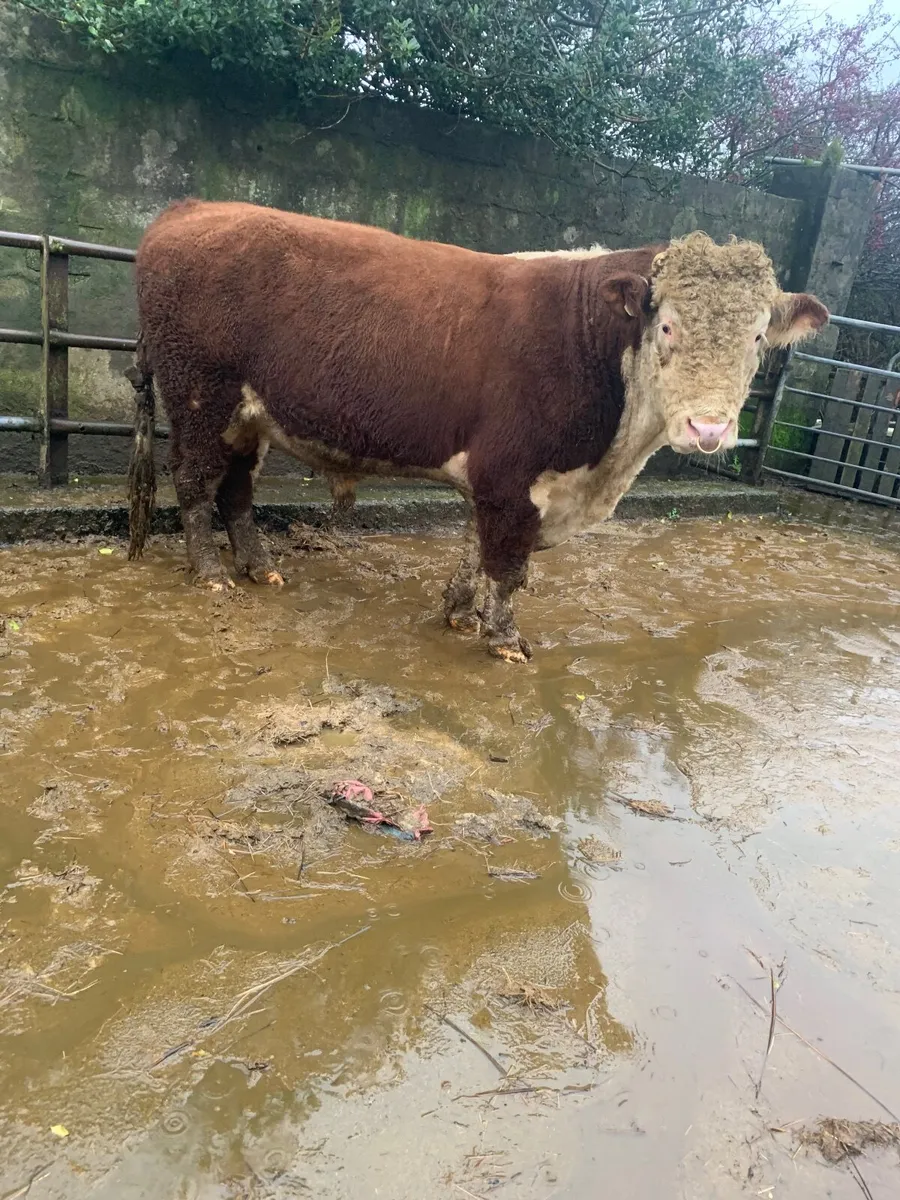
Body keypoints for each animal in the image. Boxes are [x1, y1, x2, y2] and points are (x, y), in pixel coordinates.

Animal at [127, 200, 828, 662]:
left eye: (758, 338)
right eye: (666, 326)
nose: (709, 429)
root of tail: (191, 210)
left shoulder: (500, 480)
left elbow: (477, 548)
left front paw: (459, 611)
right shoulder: (512, 474)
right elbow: (508, 563)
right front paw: (504, 638)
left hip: (248, 415)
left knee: (237, 487)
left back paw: (259, 567)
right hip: (200, 395)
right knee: (195, 480)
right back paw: (210, 573)